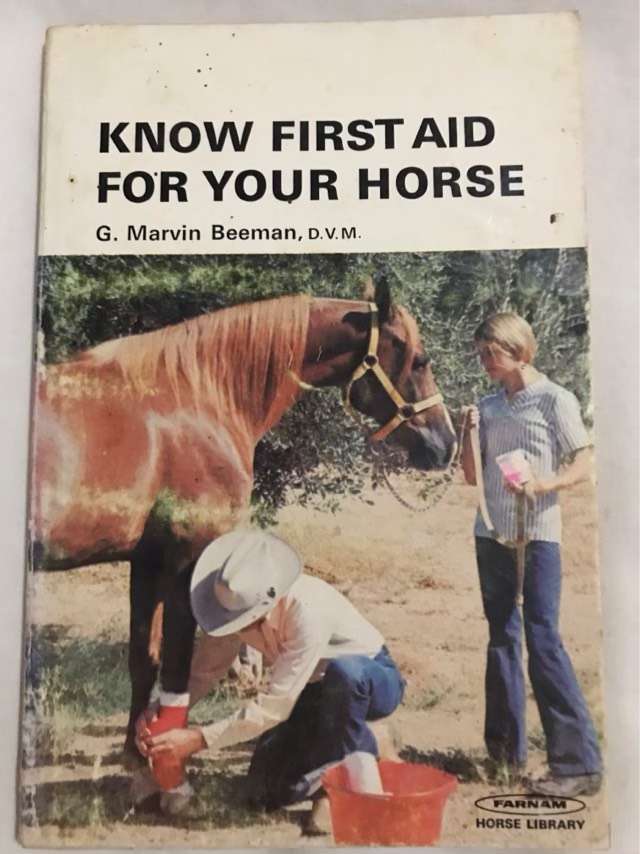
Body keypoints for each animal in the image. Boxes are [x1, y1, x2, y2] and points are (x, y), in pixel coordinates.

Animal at [30, 278, 457, 761]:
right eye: (419, 360)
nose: (445, 444)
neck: (197, 398)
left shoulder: (146, 561)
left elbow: (145, 660)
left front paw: (136, 753)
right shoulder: (187, 560)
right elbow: (176, 672)